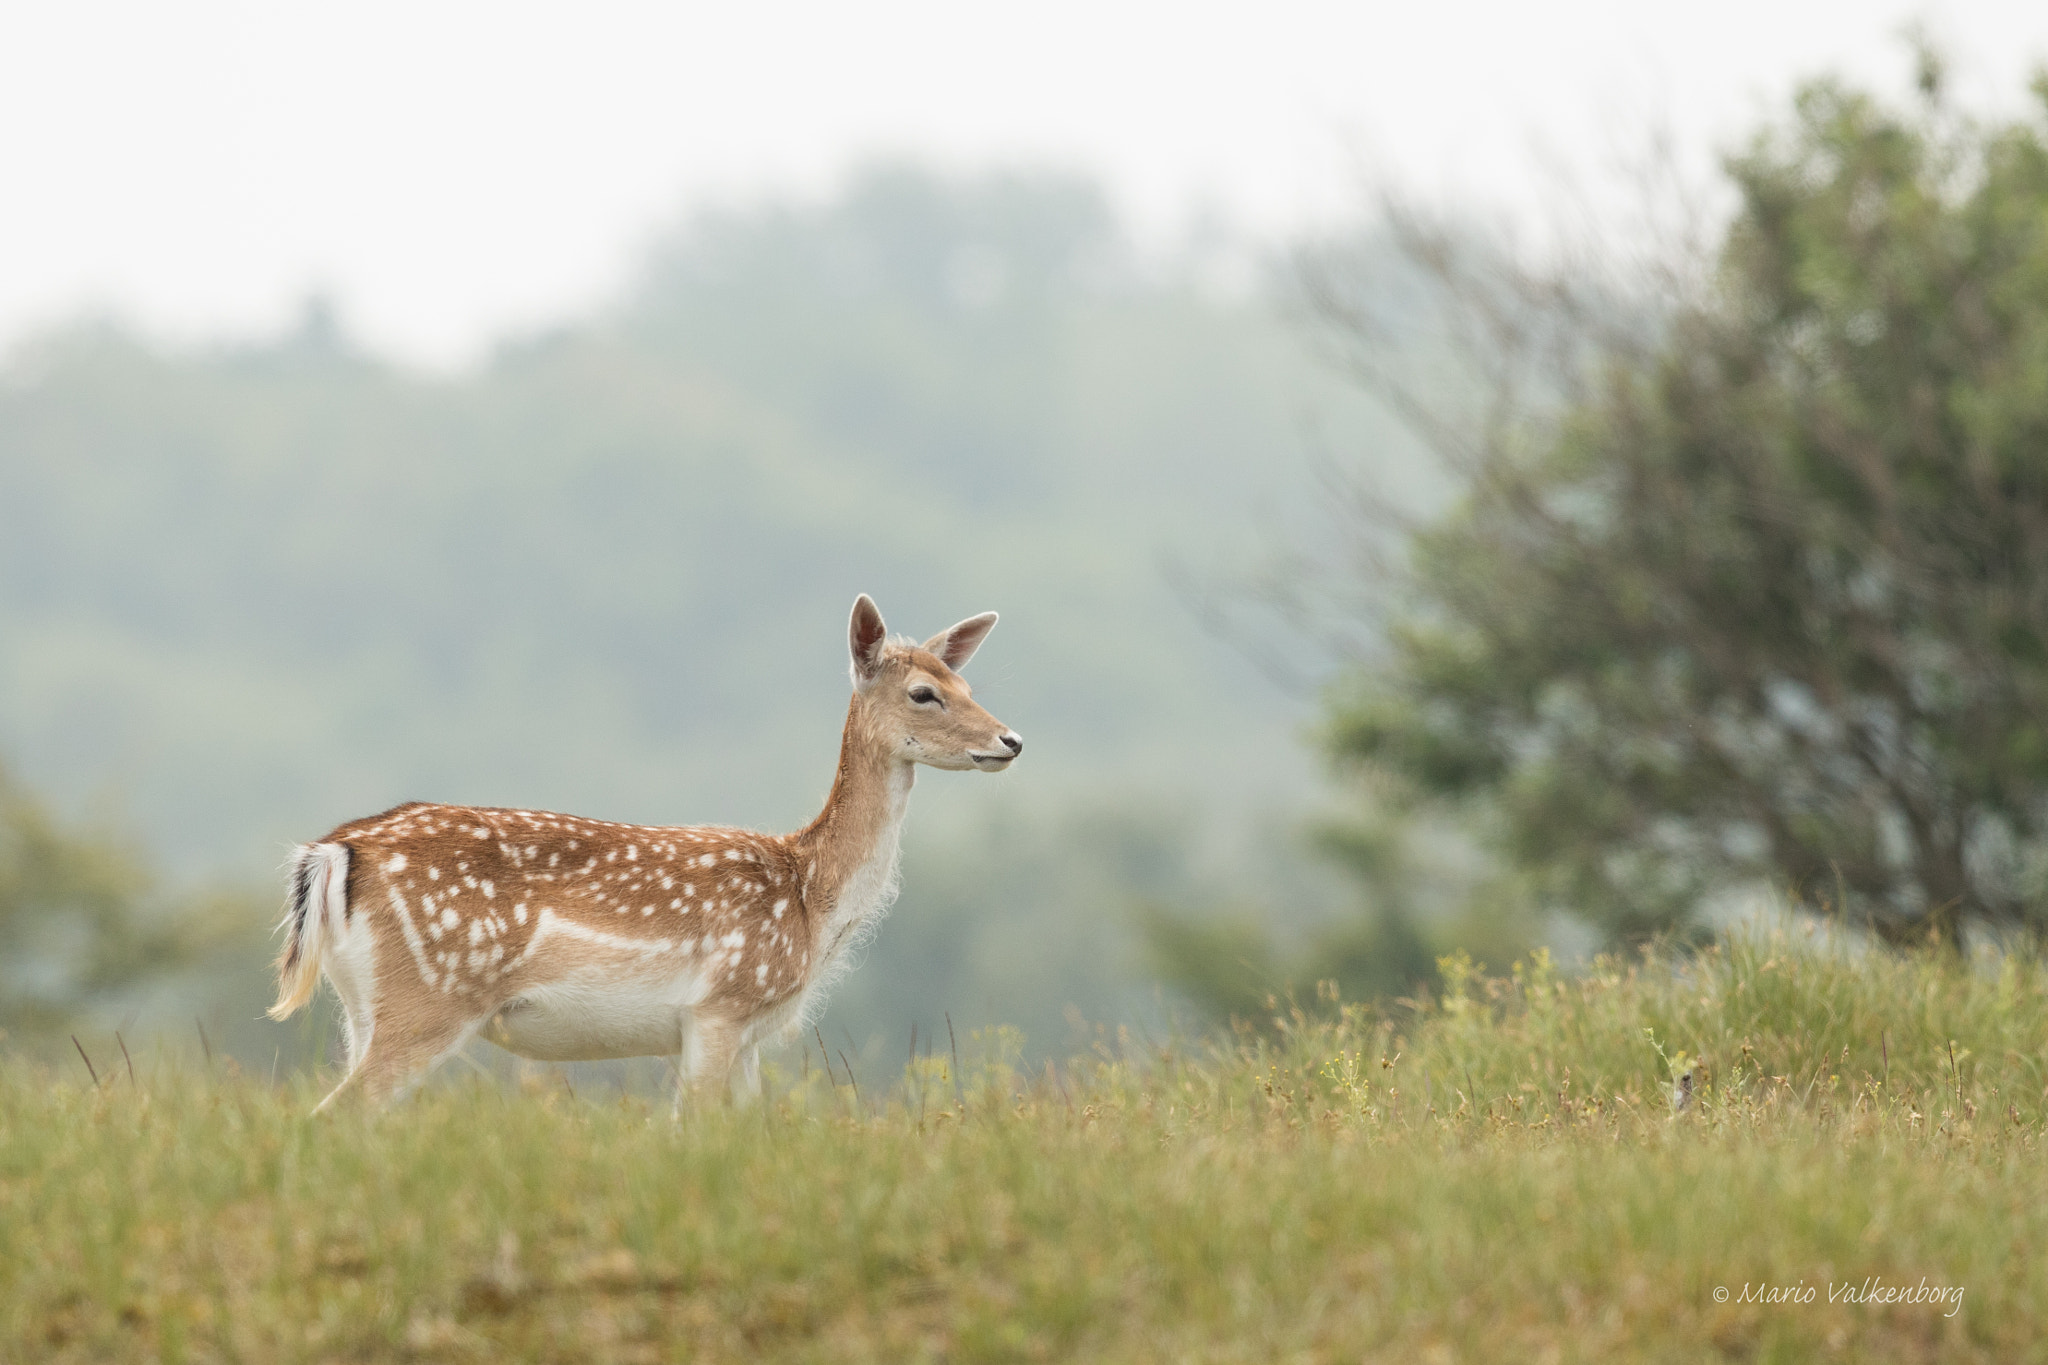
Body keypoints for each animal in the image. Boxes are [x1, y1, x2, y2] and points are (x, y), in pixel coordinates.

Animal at [268, 597, 1019, 1113]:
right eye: (924, 693)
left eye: (968, 686)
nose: (1009, 740)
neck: (811, 899)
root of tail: (333, 852)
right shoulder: (720, 1004)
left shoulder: (746, 1034)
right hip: (429, 996)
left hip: (363, 1005)